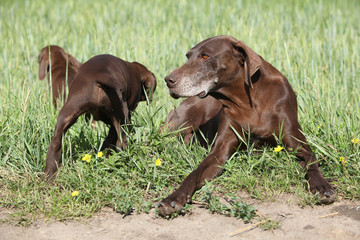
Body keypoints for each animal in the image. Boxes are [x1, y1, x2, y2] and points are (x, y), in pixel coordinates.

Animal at [159, 35, 336, 216]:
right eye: (188, 56)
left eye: (205, 56)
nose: (168, 80)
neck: (248, 102)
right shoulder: (220, 151)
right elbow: (194, 173)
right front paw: (174, 198)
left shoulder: (296, 142)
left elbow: (311, 159)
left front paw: (321, 186)